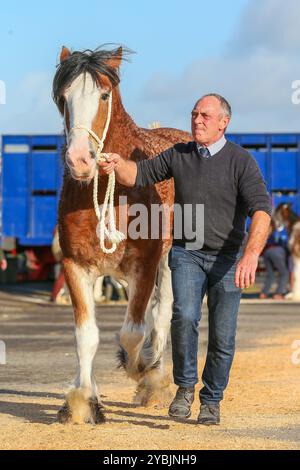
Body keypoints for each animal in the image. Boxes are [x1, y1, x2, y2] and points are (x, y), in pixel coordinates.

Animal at [52, 46, 191, 424]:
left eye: (103, 95)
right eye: (63, 98)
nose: (79, 160)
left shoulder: (145, 265)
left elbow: (133, 332)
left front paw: (142, 368)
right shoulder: (75, 266)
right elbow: (86, 335)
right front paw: (83, 401)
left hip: (169, 262)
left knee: (162, 312)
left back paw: (152, 374)